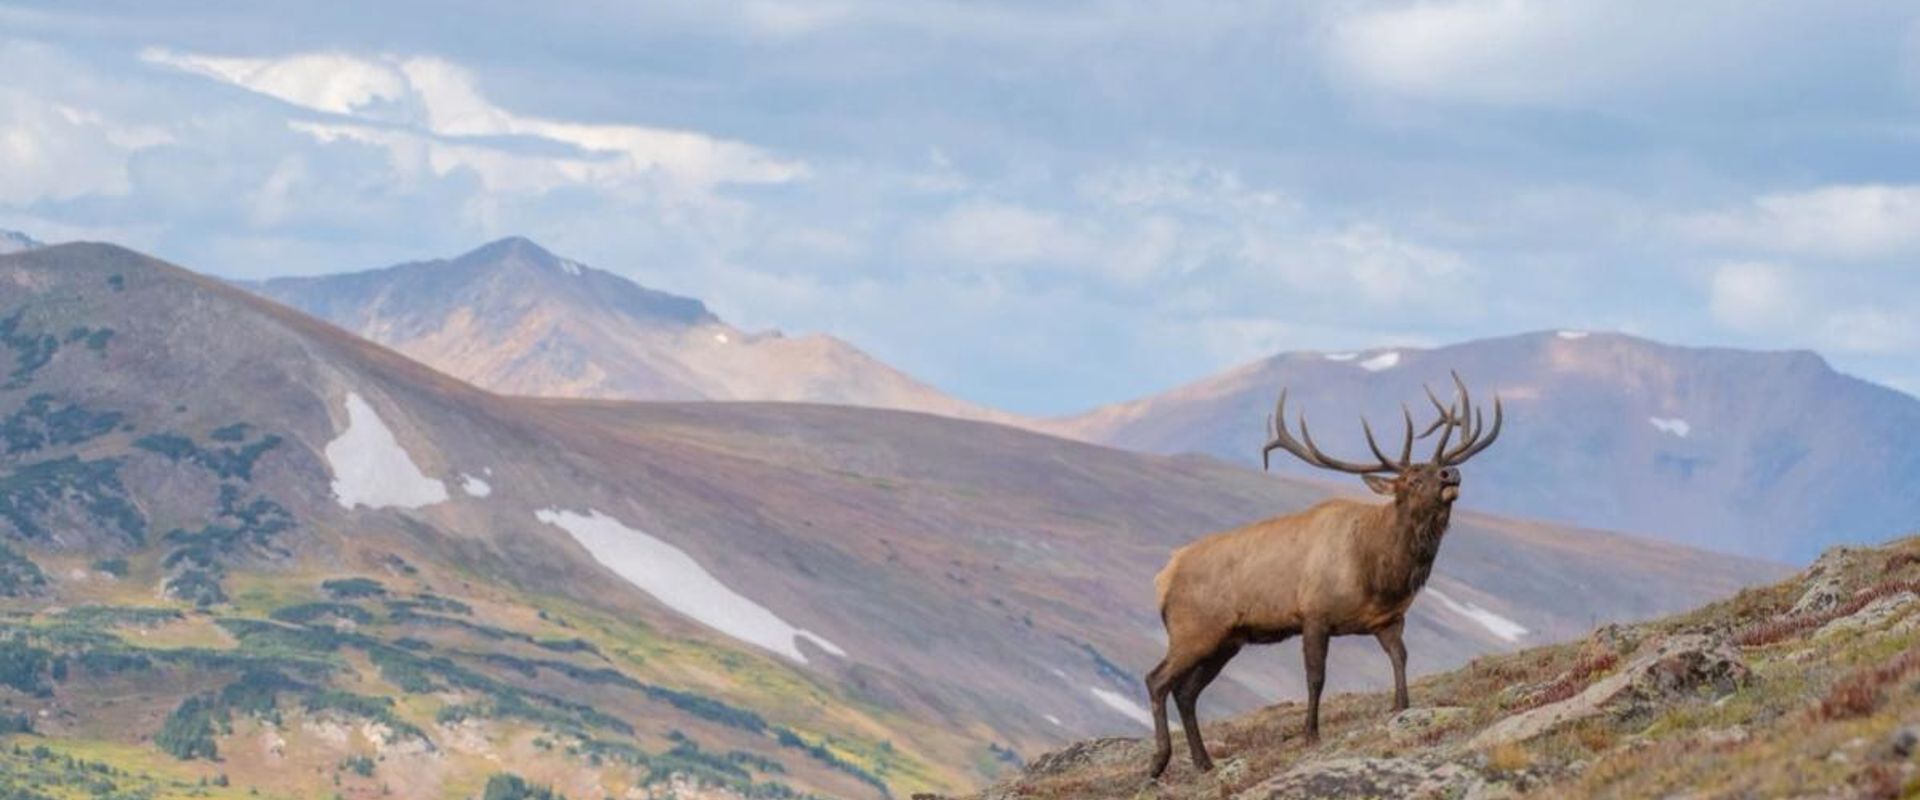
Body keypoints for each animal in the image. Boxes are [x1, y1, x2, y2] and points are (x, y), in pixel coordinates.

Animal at [1145, 372, 1503, 779]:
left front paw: (1402, 707)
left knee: (1185, 691)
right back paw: (1158, 762)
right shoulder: (1314, 614)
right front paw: (1310, 734)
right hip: (1193, 630)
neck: (1379, 573)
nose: (1451, 473)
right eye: (1412, 479)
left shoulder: (1389, 619)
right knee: (1157, 680)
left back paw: (1204, 762)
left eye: (1436, 467)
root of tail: (1163, 577)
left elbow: (1400, 658)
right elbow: (1316, 676)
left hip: (1226, 640)